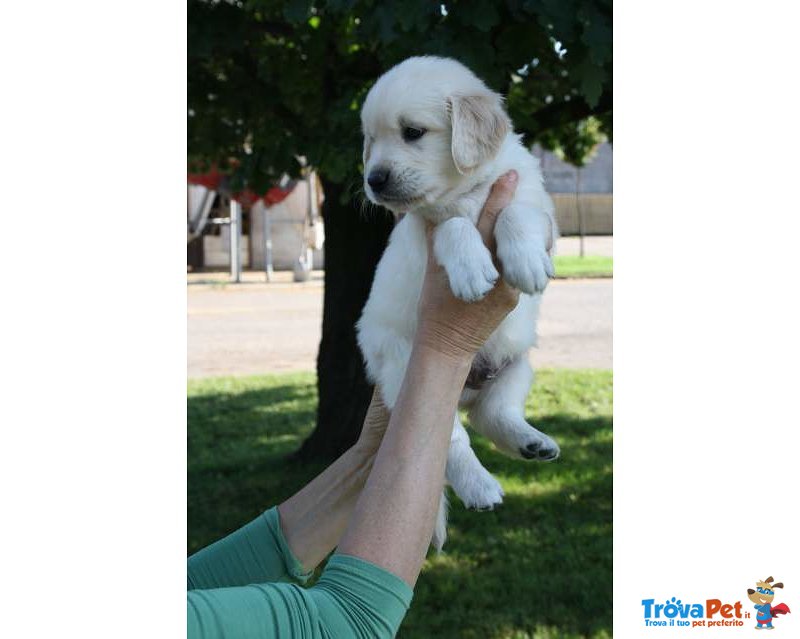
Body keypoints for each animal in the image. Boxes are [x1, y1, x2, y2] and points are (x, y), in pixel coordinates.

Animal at [356, 56, 556, 552]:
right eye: (371, 140)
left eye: (412, 132)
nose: (373, 180)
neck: (466, 191)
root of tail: (463, 392)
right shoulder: (425, 228)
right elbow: (452, 226)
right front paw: (470, 267)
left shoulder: (541, 213)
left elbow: (517, 212)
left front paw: (525, 261)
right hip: (406, 375)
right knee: (455, 442)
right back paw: (480, 486)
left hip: (518, 362)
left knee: (494, 414)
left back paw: (531, 442)